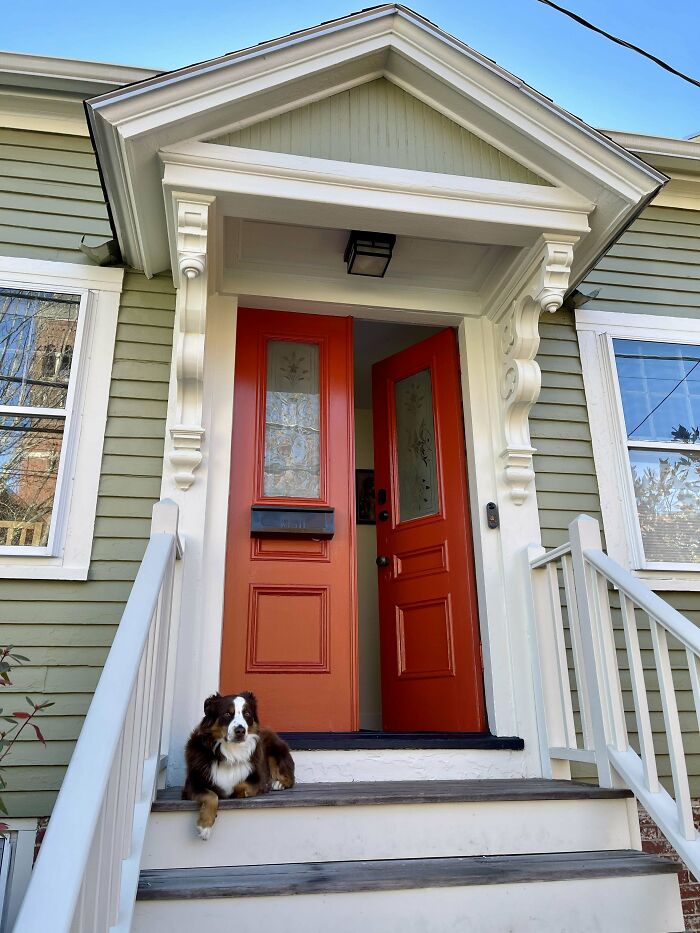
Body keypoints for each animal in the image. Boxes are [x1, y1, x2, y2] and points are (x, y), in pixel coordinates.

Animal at [182, 692, 294, 836]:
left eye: (247, 714)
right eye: (227, 714)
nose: (240, 730)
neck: (231, 752)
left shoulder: (258, 779)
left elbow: (239, 786)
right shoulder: (192, 784)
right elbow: (211, 795)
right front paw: (205, 826)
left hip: (276, 750)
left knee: (290, 777)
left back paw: (279, 783)